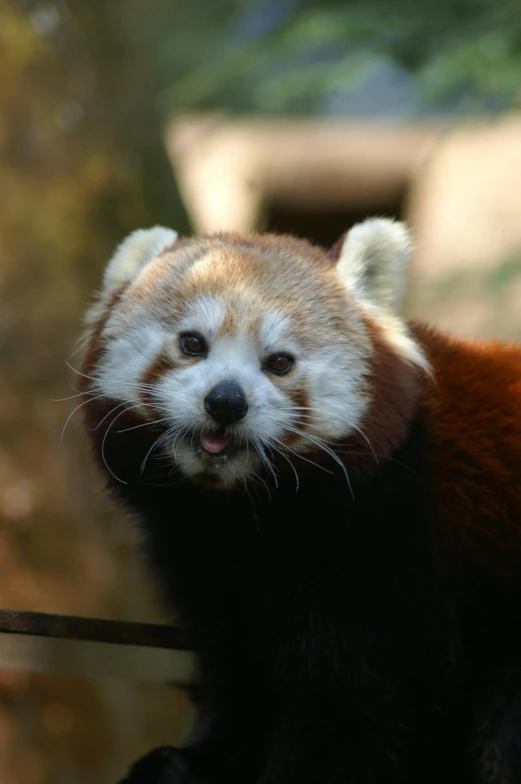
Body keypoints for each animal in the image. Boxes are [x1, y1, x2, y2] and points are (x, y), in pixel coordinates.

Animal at [77, 219, 520, 784]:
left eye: (280, 363)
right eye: (192, 343)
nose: (226, 401)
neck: (248, 515)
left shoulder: (388, 563)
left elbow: (358, 715)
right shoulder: (215, 581)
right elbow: (243, 682)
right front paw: (190, 762)